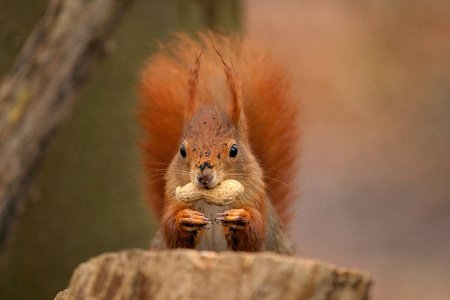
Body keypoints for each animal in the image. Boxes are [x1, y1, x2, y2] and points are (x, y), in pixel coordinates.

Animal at [136, 32, 298, 254]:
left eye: (234, 150)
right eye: (182, 150)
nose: (204, 175)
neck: (210, 200)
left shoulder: (255, 197)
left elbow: (256, 235)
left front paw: (241, 218)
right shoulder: (172, 195)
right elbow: (171, 231)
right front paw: (185, 218)